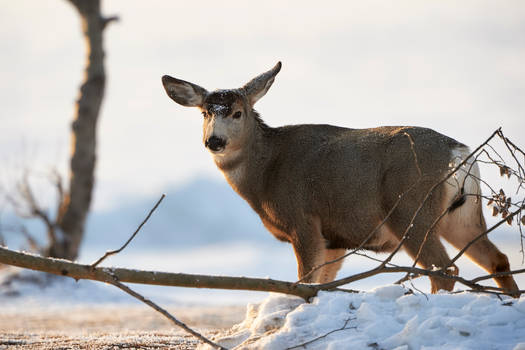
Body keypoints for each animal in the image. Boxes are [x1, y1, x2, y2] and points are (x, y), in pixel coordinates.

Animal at [162, 61, 516, 294]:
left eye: (237, 113)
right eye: (205, 113)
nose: (214, 141)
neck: (266, 172)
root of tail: (458, 153)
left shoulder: (304, 221)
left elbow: (305, 282)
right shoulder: (335, 239)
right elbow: (325, 284)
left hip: (411, 210)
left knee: (444, 270)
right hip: (462, 214)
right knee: (497, 259)